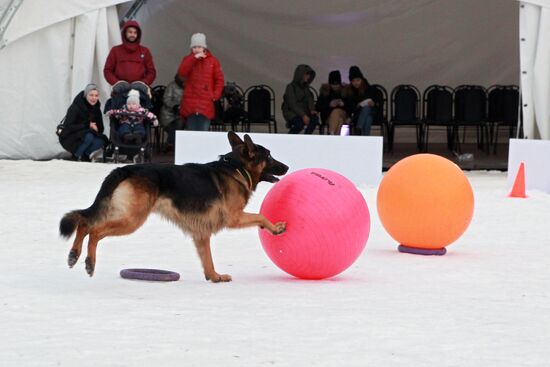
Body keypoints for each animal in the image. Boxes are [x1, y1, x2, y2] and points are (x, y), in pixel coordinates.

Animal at [59, 134, 288, 284]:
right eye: (269, 157)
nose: (286, 167)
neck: (237, 168)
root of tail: (124, 168)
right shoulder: (235, 218)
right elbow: (261, 216)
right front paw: (276, 228)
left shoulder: (201, 234)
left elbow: (208, 259)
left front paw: (214, 277)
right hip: (131, 220)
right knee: (95, 231)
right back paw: (89, 262)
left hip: (120, 212)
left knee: (85, 222)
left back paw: (74, 255)